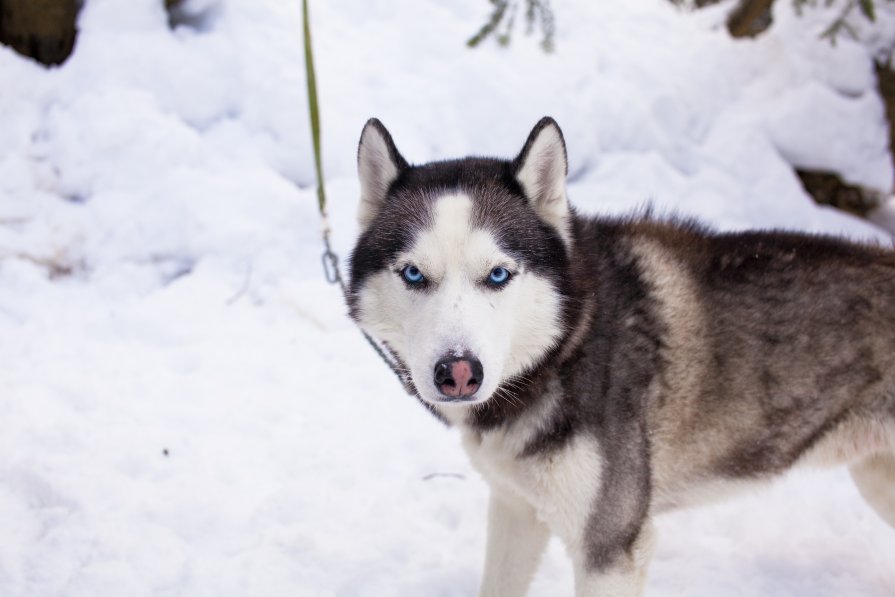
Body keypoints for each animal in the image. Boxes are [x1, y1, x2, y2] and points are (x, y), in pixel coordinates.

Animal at [346, 117, 892, 596]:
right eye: (414, 274)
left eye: (498, 275)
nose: (458, 373)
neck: (566, 349)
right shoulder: (515, 509)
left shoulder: (610, 548)